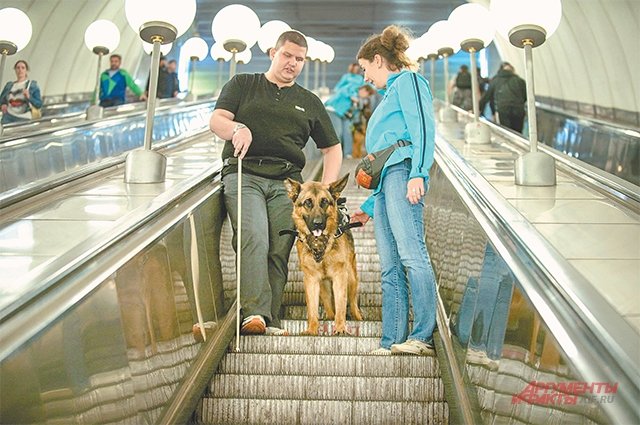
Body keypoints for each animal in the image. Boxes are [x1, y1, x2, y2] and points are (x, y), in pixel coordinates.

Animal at [284, 174, 360, 332]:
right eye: (308, 203)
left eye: (324, 202)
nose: (318, 223)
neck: (320, 244)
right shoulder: (311, 279)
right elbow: (312, 309)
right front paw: (312, 330)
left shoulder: (340, 276)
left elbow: (341, 305)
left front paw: (340, 328)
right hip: (323, 285)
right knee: (328, 303)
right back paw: (330, 317)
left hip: (351, 278)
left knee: (352, 301)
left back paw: (357, 317)